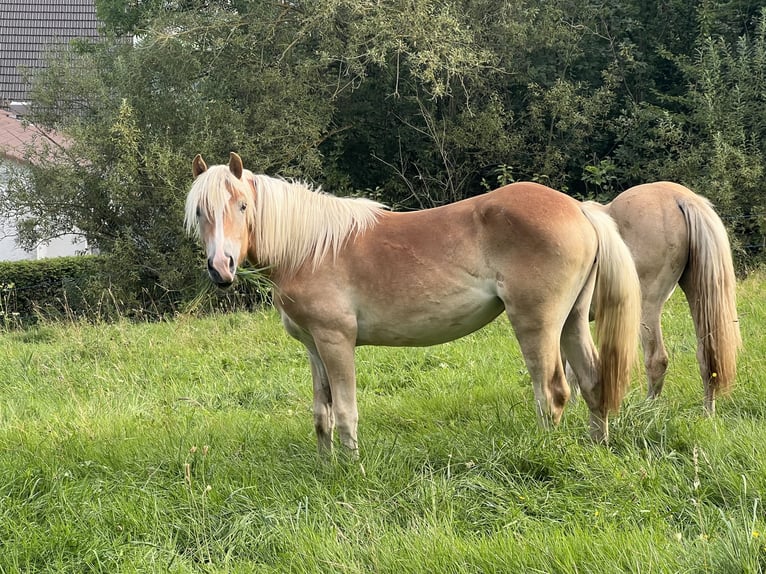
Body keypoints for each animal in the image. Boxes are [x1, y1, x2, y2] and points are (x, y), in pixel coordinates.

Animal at [184, 154, 640, 460]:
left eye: (242, 206)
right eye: (201, 212)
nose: (221, 268)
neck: (311, 248)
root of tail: (579, 208)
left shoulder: (336, 341)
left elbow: (345, 411)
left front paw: (350, 471)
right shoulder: (314, 348)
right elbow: (321, 413)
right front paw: (326, 467)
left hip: (537, 323)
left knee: (553, 392)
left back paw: (546, 453)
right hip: (573, 321)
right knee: (593, 382)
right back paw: (596, 449)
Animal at [608, 183, 744, 414]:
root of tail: (681, 198)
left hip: (647, 306)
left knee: (657, 359)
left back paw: (646, 411)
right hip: (698, 296)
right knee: (707, 357)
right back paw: (708, 413)